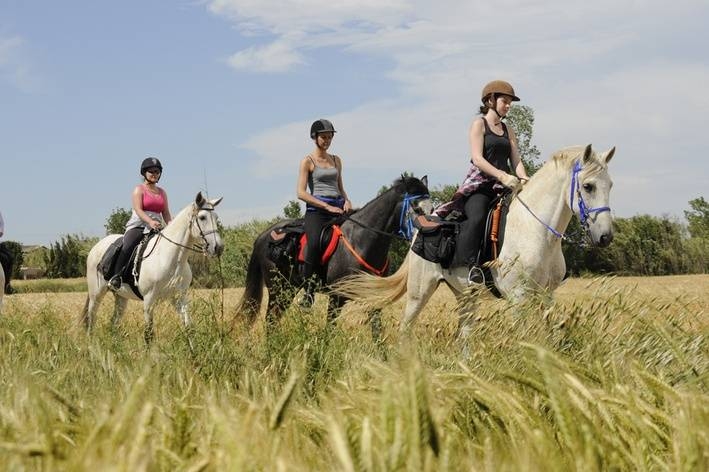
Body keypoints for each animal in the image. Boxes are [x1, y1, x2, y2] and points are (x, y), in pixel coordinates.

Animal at [80, 192, 224, 342]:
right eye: (202, 217)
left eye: (216, 217)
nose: (218, 248)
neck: (171, 258)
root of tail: (96, 247)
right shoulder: (149, 300)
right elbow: (148, 333)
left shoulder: (179, 297)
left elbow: (189, 327)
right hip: (96, 294)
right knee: (91, 319)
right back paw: (91, 344)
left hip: (121, 296)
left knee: (113, 322)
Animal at [235, 174, 428, 328]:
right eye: (416, 207)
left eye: (432, 208)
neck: (362, 240)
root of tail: (262, 236)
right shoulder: (336, 297)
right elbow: (329, 330)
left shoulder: (373, 295)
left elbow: (377, 330)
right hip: (278, 289)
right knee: (270, 321)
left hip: (289, 289)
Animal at [332, 145, 612, 342]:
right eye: (588, 186)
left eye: (610, 185)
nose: (606, 237)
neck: (535, 229)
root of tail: (418, 232)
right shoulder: (518, 298)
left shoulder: (546, 294)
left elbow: (551, 336)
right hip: (419, 292)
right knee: (405, 328)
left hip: (465, 294)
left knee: (464, 335)